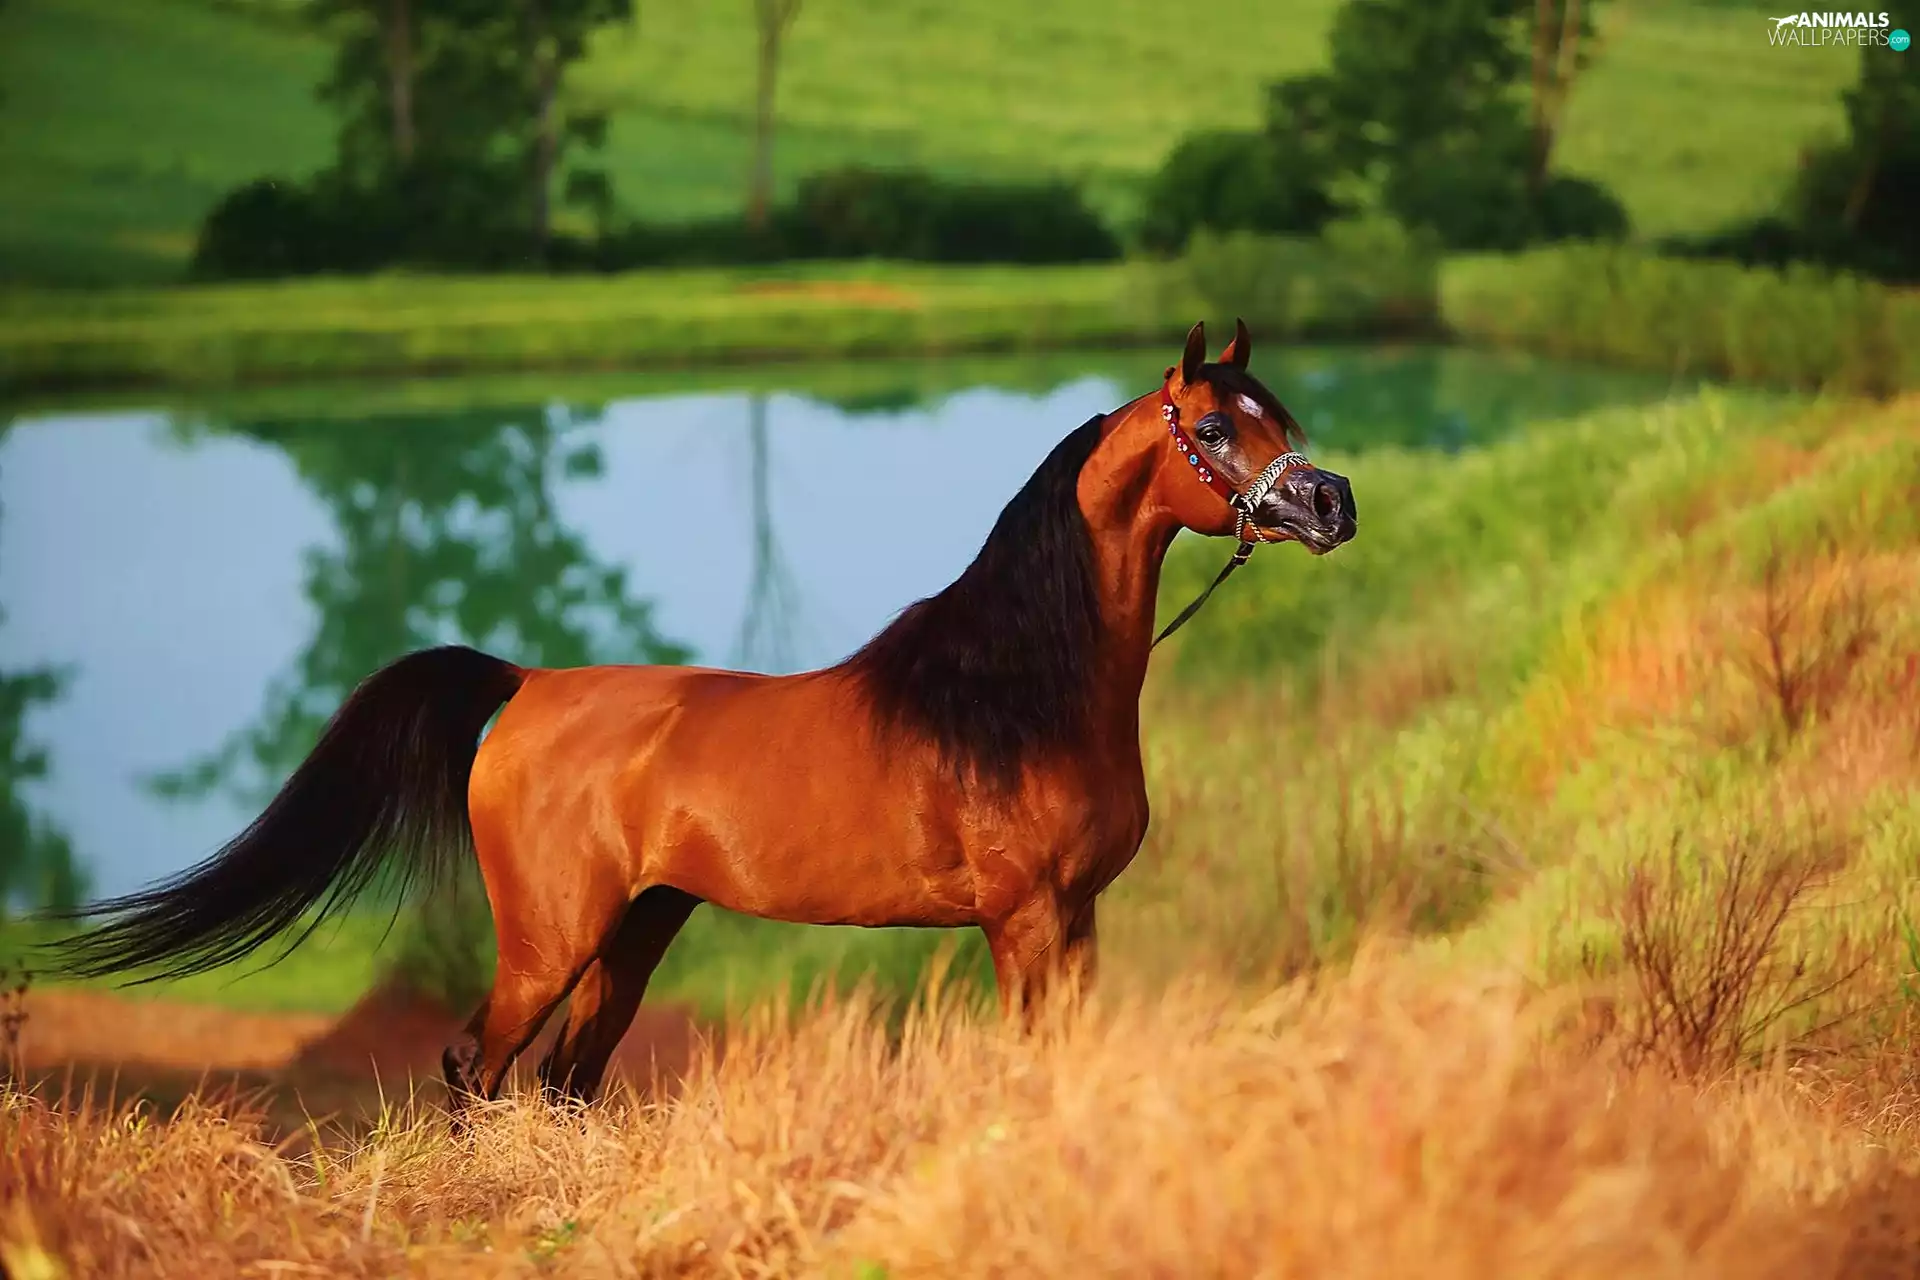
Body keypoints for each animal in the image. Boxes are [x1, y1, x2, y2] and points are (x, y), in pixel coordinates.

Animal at [48, 320, 1357, 1115]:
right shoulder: (1022, 916)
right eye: (1218, 426)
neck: (1021, 689)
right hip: (552, 936)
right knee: (478, 1062)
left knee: (563, 1076)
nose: (1333, 503)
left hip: (634, 931)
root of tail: (526, 685)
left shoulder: (1079, 916)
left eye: (1280, 413)